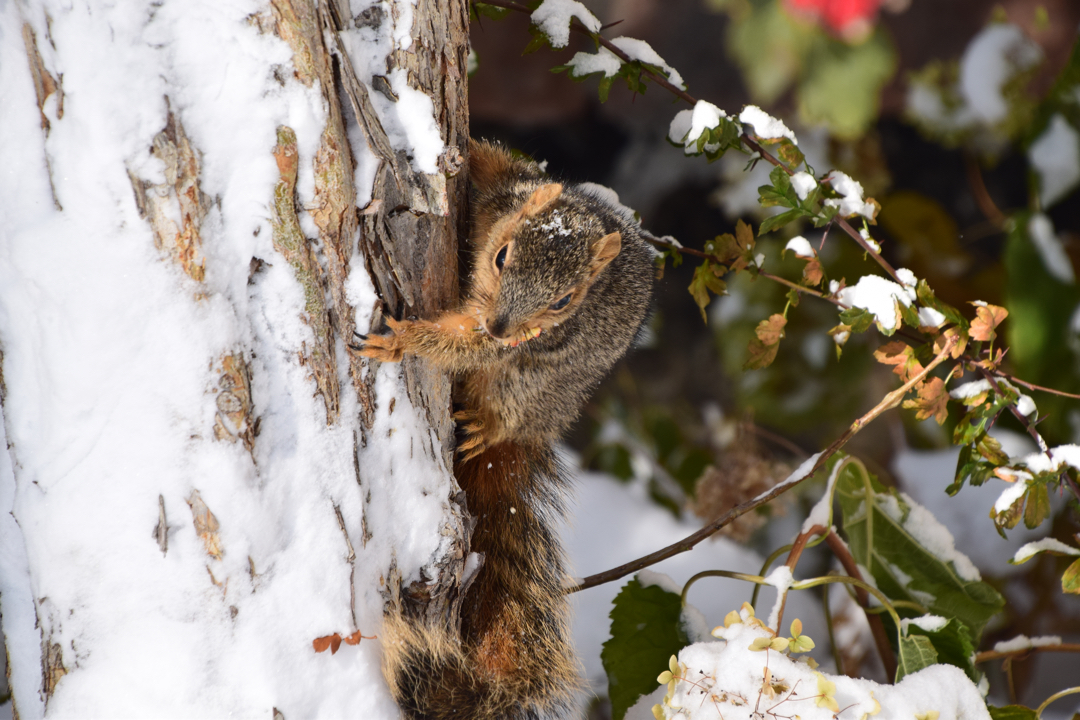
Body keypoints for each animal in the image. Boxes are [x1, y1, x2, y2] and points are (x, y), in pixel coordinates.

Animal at [358, 138, 652, 716]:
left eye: (563, 302)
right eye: (502, 256)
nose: (500, 326)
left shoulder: (510, 340)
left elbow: (462, 344)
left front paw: (404, 342)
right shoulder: (503, 189)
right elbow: (494, 163)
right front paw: (461, 150)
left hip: (532, 389)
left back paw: (485, 426)